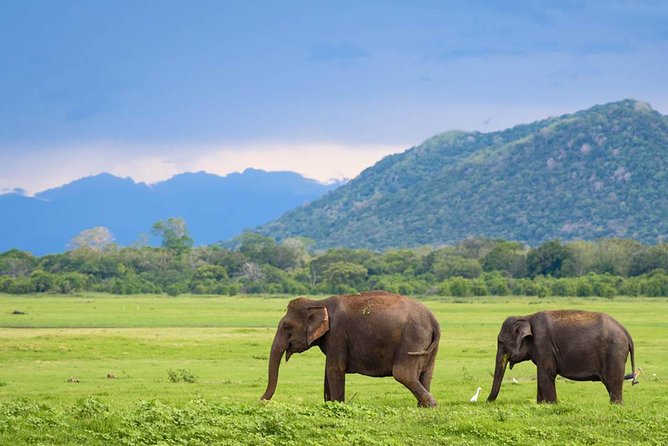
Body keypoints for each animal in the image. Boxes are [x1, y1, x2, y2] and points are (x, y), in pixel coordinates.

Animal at [259, 290, 441, 407]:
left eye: (286, 326)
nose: (260, 402)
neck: (319, 302)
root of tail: (433, 319)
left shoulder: (337, 334)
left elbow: (335, 369)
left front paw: (338, 406)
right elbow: (328, 370)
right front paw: (328, 405)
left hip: (412, 339)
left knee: (403, 374)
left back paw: (431, 405)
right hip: (429, 347)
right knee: (426, 374)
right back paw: (422, 408)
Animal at [487, 310, 638, 404]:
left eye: (501, 342)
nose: (486, 402)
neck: (527, 317)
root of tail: (626, 332)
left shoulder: (544, 345)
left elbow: (546, 375)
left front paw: (552, 404)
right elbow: (541, 378)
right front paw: (541, 405)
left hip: (614, 353)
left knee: (613, 383)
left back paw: (616, 405)